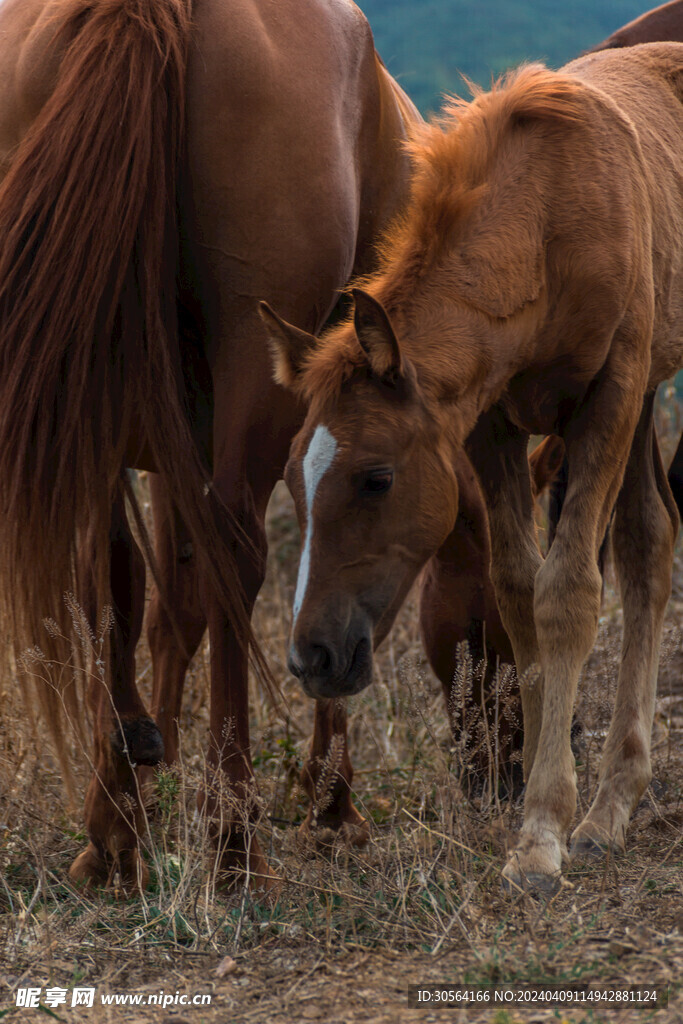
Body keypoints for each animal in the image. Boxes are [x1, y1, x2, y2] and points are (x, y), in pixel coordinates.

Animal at [264, 41, 683, 888]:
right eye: (293, 478)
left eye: (376, 477)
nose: (311, 655)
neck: (551, 217)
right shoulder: (490, 419)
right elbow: (519, 590)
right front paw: (543, 816)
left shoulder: (609, 393)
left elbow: (567, 592)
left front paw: (544, 833)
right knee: (650, 542)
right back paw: (613, 806)